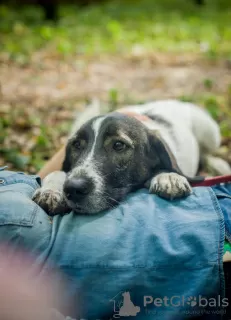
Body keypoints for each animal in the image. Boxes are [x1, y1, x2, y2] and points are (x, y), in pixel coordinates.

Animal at [33, 99, 231, 215]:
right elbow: (58, 172)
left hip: (210, 132)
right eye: (76, 145)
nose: (74, 188)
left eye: (118, 145)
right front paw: (51, 190)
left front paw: (169, 176)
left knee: (208, 152)